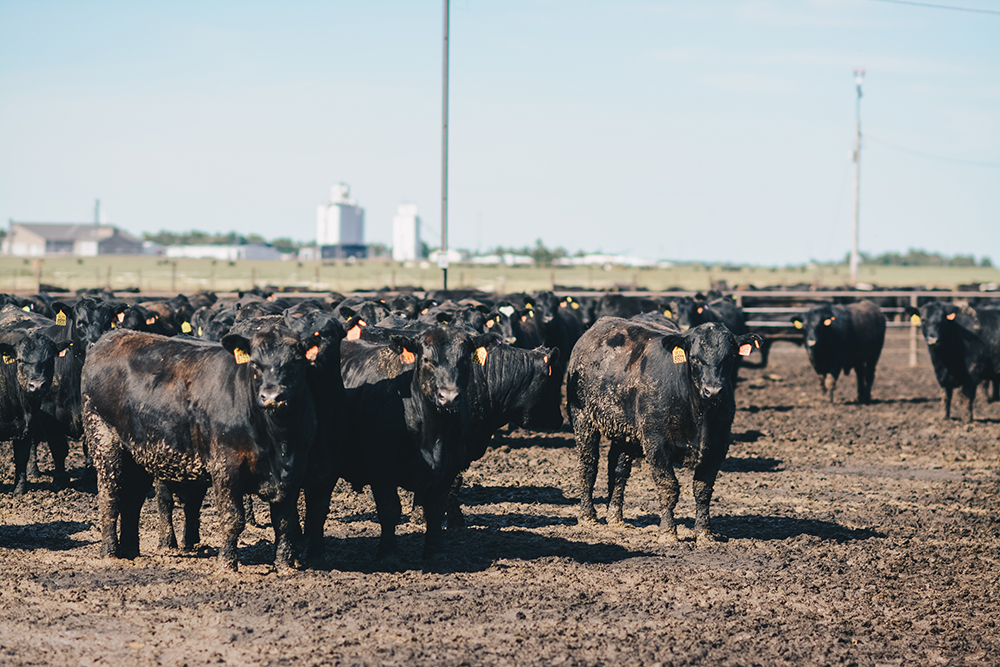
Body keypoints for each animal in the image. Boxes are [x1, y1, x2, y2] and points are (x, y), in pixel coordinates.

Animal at [82, 324, 318, 568]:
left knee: (133, 500)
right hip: (104, 439)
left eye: (296, 361)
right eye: (255, 363)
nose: (271, 396)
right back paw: (110, 552)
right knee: (110, 495)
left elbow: (285, 521)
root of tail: (112, 336)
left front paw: (285, 564)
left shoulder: (296, 468)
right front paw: (227, 563)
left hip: (138, 454)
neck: (277, 440)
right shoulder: (226, 465)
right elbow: (232, 518)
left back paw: (130, 551)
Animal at [572, 318, 756, 544]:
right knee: (588, 464)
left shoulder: (718, 445)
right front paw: (668, 532)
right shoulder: (656, 442)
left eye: (729, 357)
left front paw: (704, 533)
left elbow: (703, 490)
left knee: (618, 469)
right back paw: (587, 516)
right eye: (694, 358)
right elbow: (668, 487)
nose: (713, 391)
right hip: (582, 418)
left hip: (625, 432)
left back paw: (615, 518)